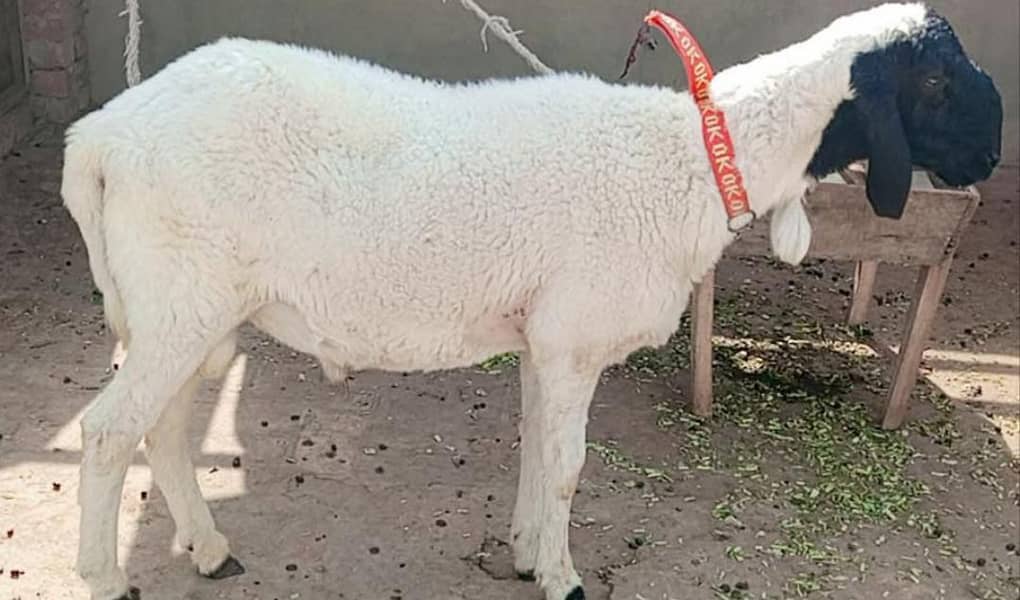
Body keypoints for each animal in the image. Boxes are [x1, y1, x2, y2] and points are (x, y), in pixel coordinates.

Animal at [59, 3, 1001, 599]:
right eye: (934, 83)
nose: (991, 156)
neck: (689, 161)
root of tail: (99, 134)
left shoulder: (542, 342)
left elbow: (535, 456)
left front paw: (522, 555)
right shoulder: (575, 340)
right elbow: (569, 467)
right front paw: (562, 578)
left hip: (192, 313)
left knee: (164, 430)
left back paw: (210, 550)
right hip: (179, 300)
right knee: (108, 433)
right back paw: (106, 577)